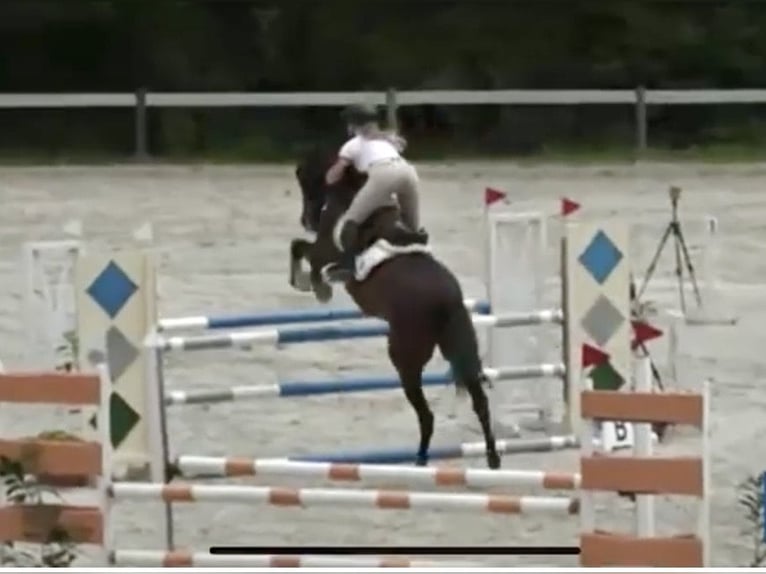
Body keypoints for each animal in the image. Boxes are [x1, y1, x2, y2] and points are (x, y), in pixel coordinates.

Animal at [288, 149, 501, 470]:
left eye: (307, 183)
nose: (307, 220)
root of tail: (447, 300)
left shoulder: (325, 251)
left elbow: (302, 249)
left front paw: (314, 286)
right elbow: (302, 249)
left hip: (404, 358)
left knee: (426, 414)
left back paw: (421, 459)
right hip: (460, 347)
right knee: (480, 403)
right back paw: (492, 457)